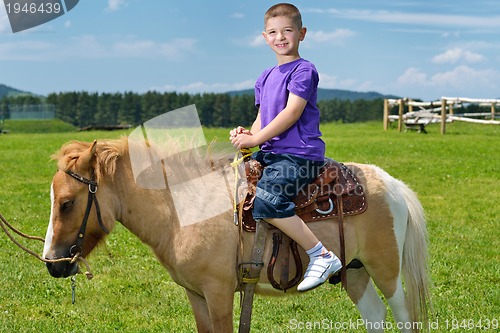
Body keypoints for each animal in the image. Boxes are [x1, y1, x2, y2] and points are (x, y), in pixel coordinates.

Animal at [43, 136, 430, 330]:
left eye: (66, 203)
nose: (52, 263)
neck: (185, 207)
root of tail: (392, 185)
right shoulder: (196, 295)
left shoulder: (219, 292)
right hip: (355, 271)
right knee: (375, 316)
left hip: (385, 270)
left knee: (403, 315)